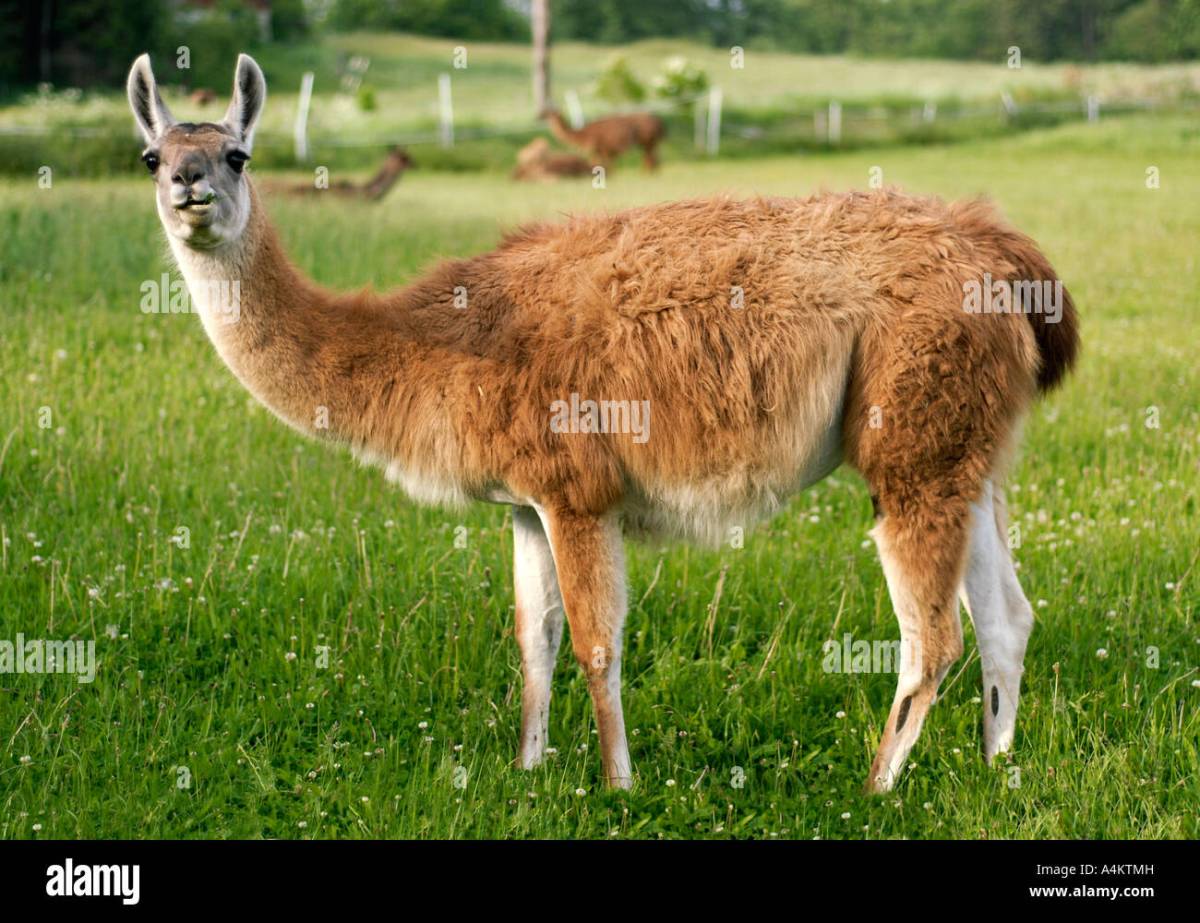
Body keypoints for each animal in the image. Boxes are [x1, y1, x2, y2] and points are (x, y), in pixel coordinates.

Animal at [128, 53, 1078, 792]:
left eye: (238, 153)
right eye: (151, 155)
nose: (189, 186)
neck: (441, 342)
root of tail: (999, 248)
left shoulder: (576, 488)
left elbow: (595, 642)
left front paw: (619, 783)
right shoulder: (524, 502)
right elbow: (534, 640)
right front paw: (528, 769)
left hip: (913, 437)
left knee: (932, 636)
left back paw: (875, 787)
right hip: (970, 450)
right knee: (1008, 617)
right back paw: (997, 770)